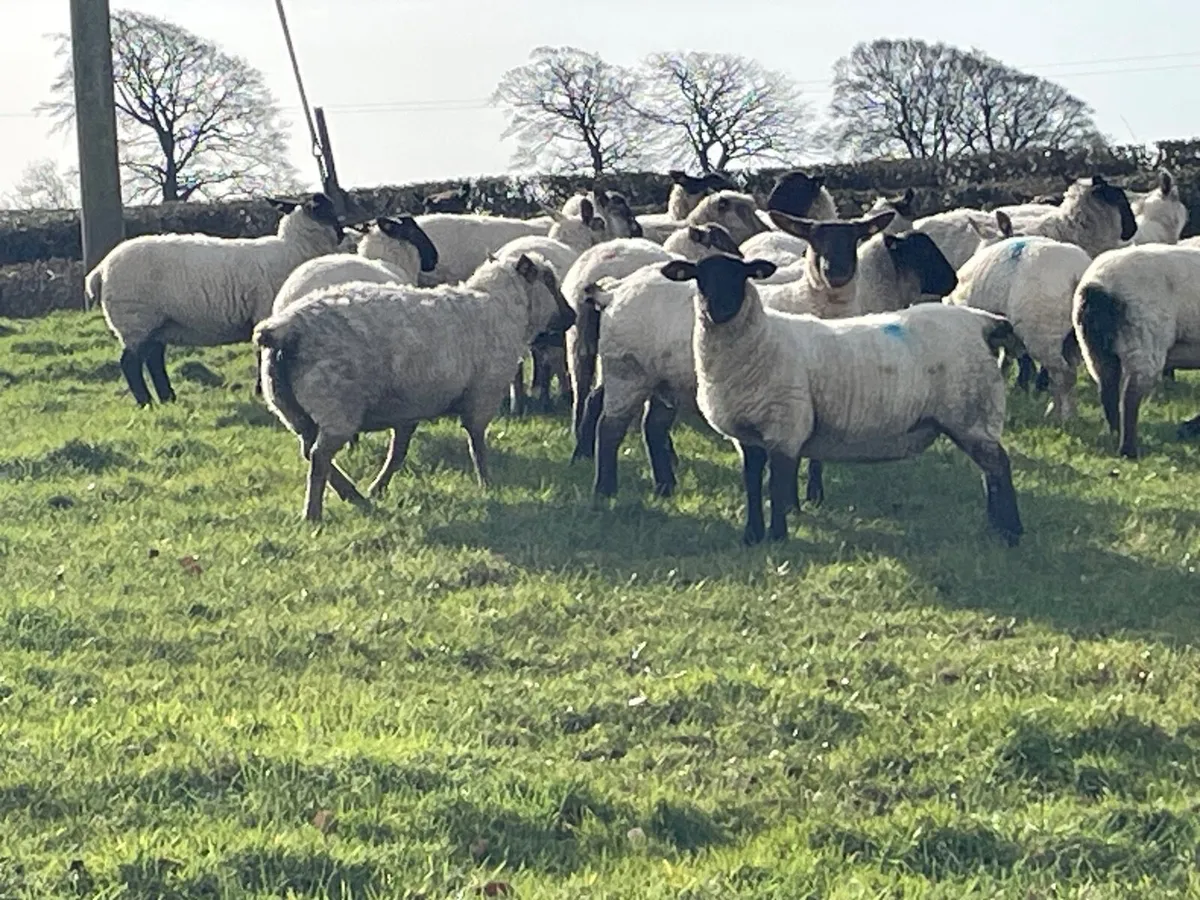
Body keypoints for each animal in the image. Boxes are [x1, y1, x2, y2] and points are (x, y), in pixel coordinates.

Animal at [89, 192, 343, 407]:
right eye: (323, 208)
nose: (342, 234)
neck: (293, 248)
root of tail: (101, 270)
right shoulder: (264, 313)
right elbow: (262, 356)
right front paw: (261, 391)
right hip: (135, 318)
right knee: (130, 363)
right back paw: (146, 402)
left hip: (156, 323)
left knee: (153, 359)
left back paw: (167, 398)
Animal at [253, 251, 576, 521]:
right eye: (549, 281)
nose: (572, 316)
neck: (501, 309)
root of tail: (283, 329)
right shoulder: (482, 396)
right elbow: (477, 445)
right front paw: (487, 484)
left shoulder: (408, 410)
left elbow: (398, 454)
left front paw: (378, 489)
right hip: (336, 407)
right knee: (319, 457)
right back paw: (313, 514)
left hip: (292, 410)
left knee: (309, 451)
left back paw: (354, 497)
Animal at [660, 254, 1024, 547]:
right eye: (700, 278)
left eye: (739, 276)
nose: (717, 310)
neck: (761, 340)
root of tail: (981, 322)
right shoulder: (748, 436)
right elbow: (751, 485)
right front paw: (752, 536)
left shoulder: (784, 427)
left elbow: (776, 487)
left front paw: (777, 537)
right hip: (971, 416)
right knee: (990, 471)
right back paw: (995, 529)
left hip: (971, 412)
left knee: (999, 468)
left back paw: (1011, 533)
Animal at [949, 235, 1091, 420]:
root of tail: (1076, 273)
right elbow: (1004, 363)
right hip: (1072, 338)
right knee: (1064, 374)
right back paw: (1056, 411)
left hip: (1043, 332)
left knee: (1064, 375)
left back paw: (1065, 417)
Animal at [1071, 243, 1200, 458]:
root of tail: (1097, 285)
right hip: (1143, 341)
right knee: (1130, 397)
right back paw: (1129, 449)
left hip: (1095, 349)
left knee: (1108, 390)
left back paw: (1115, 434)